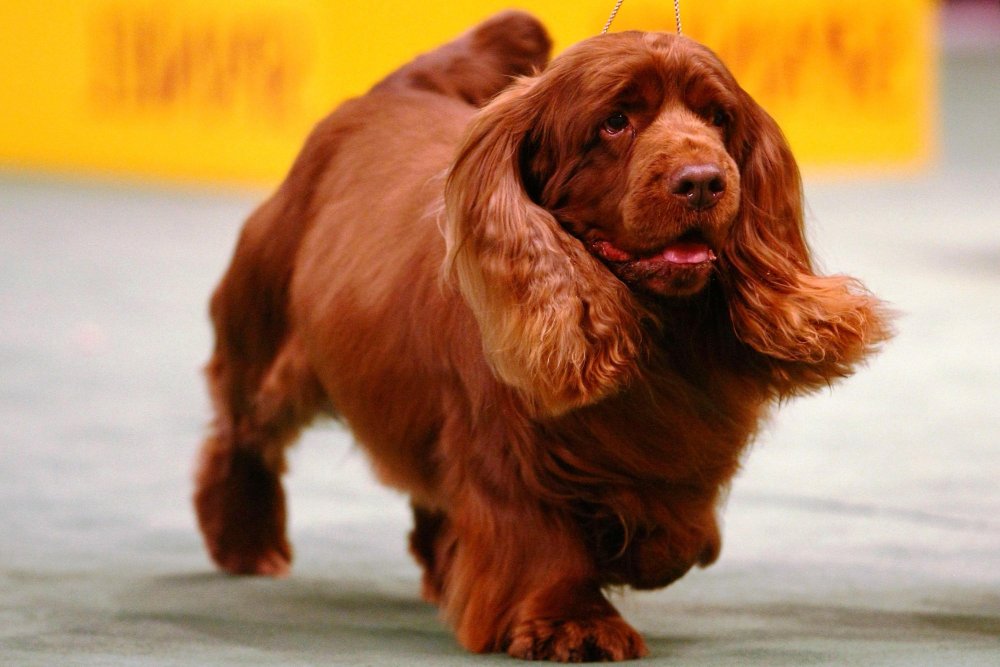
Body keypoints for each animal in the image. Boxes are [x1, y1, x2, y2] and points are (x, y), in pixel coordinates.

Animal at [195, 10, 892, 664]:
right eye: (615, 122)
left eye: (718, 118)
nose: (703, 180)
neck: (648, 323)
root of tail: (389, 91)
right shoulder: (507, 450)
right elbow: (540, 540)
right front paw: (571, 623)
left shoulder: (688, 440)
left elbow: (680, 528)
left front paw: (639, 548)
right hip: (266, 338)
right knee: (241, 433)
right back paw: (247, 540)